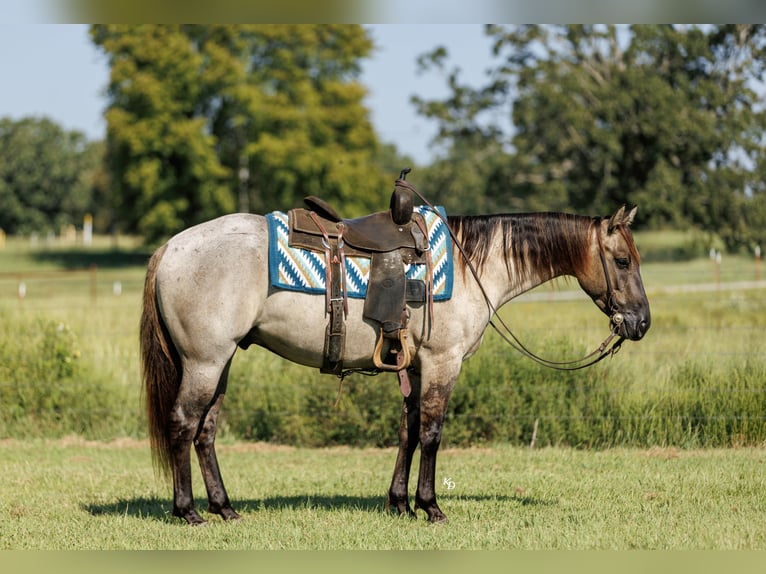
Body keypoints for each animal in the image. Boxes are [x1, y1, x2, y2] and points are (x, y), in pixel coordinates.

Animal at [140, 202, 650, 525]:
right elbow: (432, 433)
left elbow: (408, 431)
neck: (471, 267)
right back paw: (188, 511)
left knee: (205, 431)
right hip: (204, 362)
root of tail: (172, 248)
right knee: (183, 424)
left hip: (220, 363)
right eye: (623, 261)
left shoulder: (417, 367)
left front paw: (399, 503)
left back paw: (225, 508)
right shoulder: (443, 364)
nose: (641, 322)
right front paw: (430, 506)